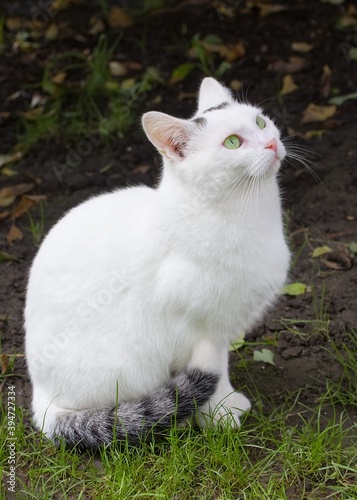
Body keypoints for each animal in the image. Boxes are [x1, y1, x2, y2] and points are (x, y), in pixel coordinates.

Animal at [24, 78, 290, 450]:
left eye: (261, 122)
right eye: (232, 142)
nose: (271, 142)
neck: (247, 212)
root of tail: (41, 401)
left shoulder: (220, 330)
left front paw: (226, 404)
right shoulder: (199, 331)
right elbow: (214, 373)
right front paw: (218, 416)